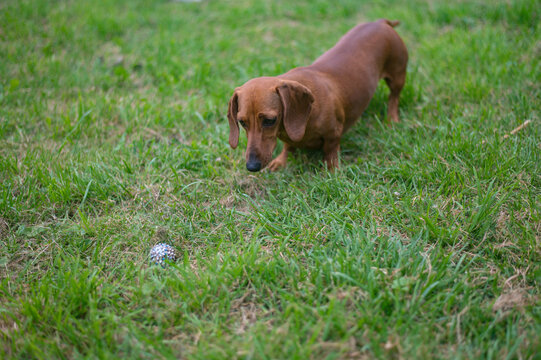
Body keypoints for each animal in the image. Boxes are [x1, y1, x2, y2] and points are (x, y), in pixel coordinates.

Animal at [226, 19, 408, 172]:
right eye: (242, 122)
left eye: (270, 120)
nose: (252, 166)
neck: (307, 116)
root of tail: (380, 22)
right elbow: (288, 147)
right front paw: (281, 161)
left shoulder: (334, 134)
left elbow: (330, 150)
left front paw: (332, 170)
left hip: (397, 75)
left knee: (394, 97)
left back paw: (392, 119)